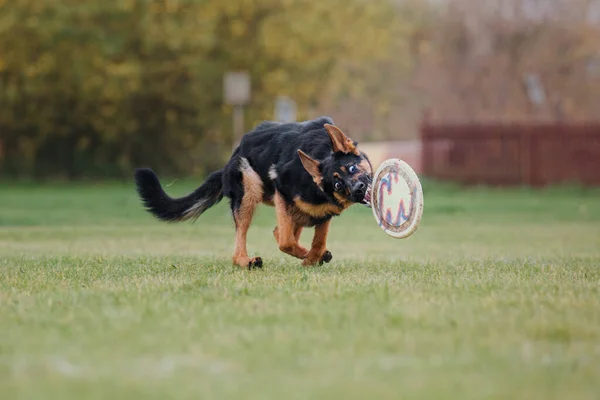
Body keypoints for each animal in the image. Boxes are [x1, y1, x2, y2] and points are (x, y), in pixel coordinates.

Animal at [134, 117, 372, 270]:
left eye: (352, 168)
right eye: (338, 184)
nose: (359, 189)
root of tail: (229, 160)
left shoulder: (323, 214)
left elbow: (317, 240)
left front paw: (313, 257)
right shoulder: (282, 190)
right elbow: (286, 241)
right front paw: (310, 258)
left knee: (280, 230)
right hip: (249, 193)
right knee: (244, 245)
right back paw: (246, 261)